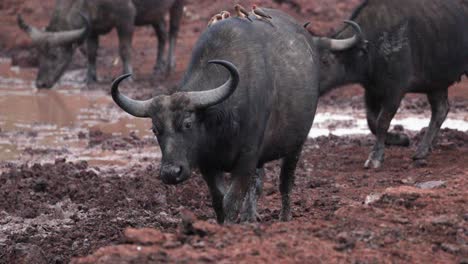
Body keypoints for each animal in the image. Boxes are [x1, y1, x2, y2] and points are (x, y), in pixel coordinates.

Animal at [17, 0, 184, 88]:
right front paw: (90, 78)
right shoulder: (92, 28)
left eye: (55, 55)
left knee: (173, 31)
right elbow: (91, 53)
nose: (40, 83)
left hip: (177, 4)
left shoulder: (126, 18)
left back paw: (169, 65)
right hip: (154, 14)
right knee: (161, 34)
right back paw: (158, 67)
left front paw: (128, 76)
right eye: (39, 54)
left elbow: (124, 50)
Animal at [109, 8, 358, 223]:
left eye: (188, 123)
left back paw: (284, 217)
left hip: (296, 143)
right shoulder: (207, 163)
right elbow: (219, 198)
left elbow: (233, 198)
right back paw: (250, 217)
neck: (220, 121)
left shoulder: (247, 157)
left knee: (285, 180)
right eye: (155, 129)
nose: (171, 172)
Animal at [308, 0, 468, 169]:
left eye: (325, 60)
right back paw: (422, 151)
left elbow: (382, 121)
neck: (373, 46)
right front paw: (400, 138)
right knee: (441, 109)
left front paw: (375, 157)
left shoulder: (395, 91)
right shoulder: (371, 90)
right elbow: (372, 121)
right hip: (435, 83)